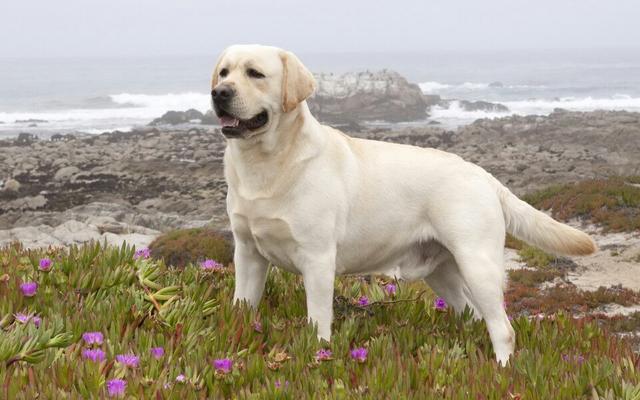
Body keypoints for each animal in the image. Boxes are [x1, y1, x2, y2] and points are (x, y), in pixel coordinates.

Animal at [210, 44, 596, 366]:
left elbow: (318, 321)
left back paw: (502, 371)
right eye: (224, 72)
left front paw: (319, 353)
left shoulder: (317, 260)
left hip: (478, 264)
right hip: (443, 273)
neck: (266, 164)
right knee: (473, 315)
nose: (219, 93)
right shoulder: (248, 253)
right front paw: (236, 335)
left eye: (255, 73)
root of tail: (485, 176)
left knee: (504, 328)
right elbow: (242, 305)